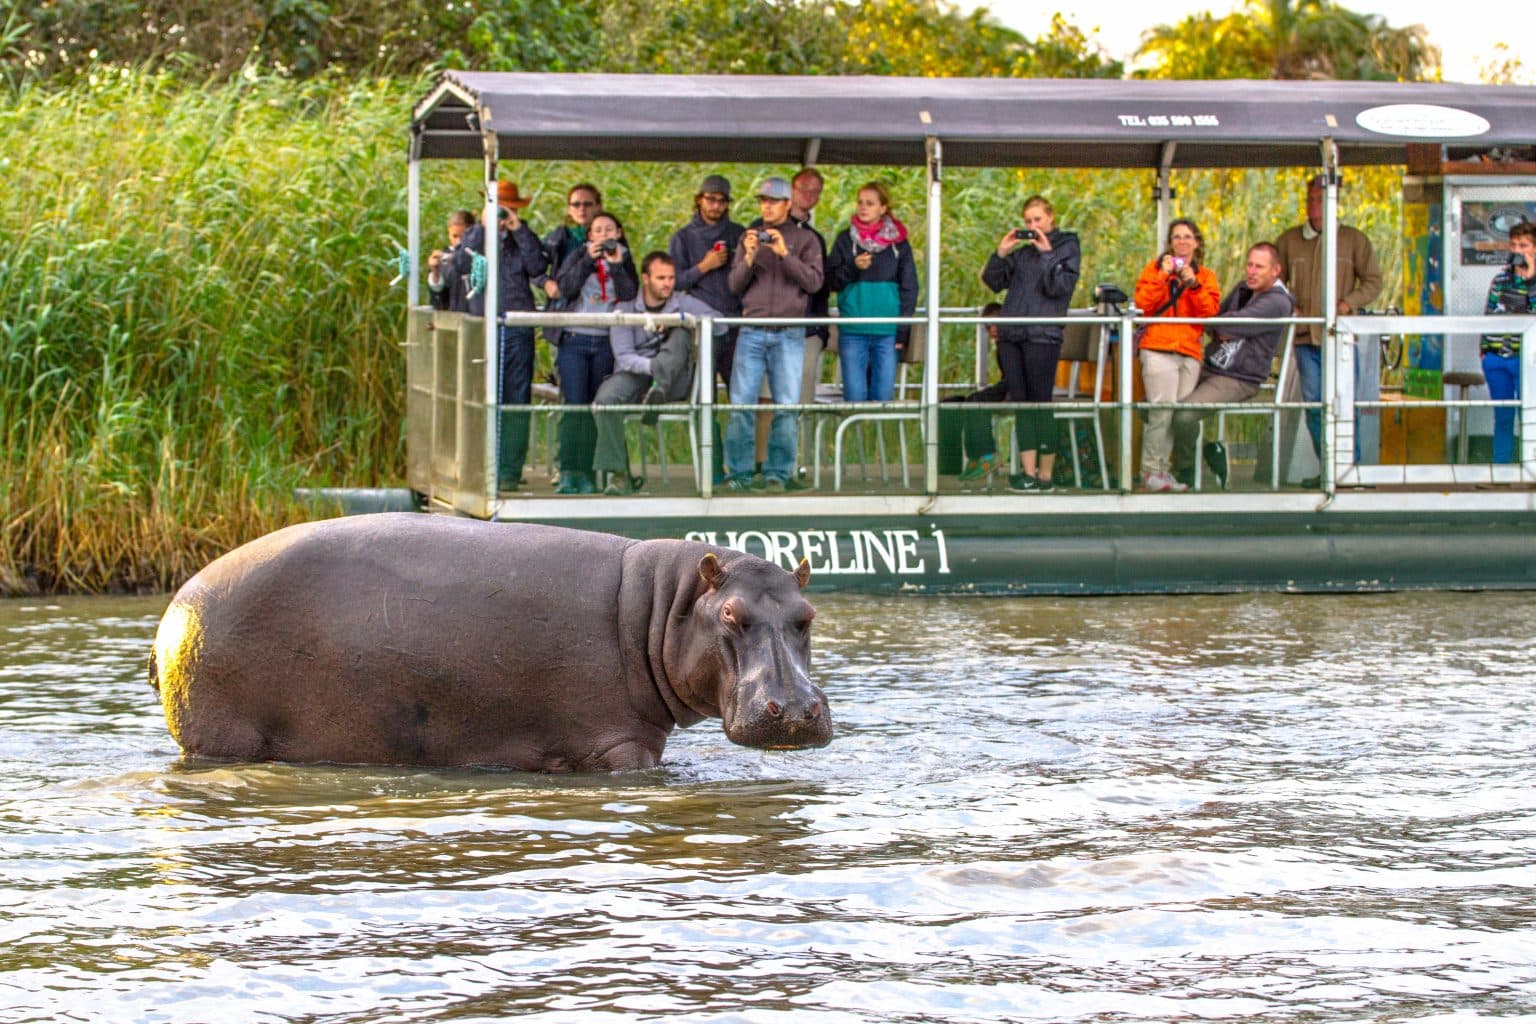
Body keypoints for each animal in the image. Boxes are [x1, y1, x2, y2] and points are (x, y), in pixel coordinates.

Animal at [149, 514, 831, 771]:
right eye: (732, 616)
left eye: (808, 614)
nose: (797, 710)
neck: (663, 606)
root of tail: (170, 615)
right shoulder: (618, 745)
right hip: (224, 738)